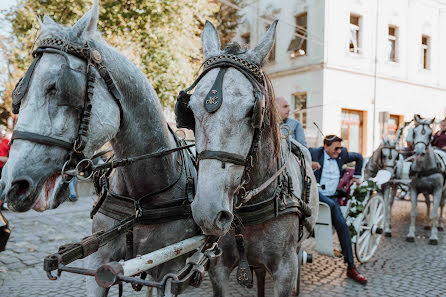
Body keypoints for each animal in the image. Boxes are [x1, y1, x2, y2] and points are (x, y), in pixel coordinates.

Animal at [0, 1, 197, 294]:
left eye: (56, 86)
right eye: (19, 94)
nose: (11, 184)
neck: (140, 200)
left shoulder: (172, 269)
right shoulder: (98, 262)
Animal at [408, 114, 446, 244]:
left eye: (430, 134)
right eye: (414, 132)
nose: (419, 152)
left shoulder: (438, 190)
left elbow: (435, 212)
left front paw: (433, 236)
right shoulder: (414, 189)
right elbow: (413, 212)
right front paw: (411, 234)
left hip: (443, 191)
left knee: (441, 205)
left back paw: (440, 225)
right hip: (425, 191)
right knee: (428, 203)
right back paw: (427, 224)